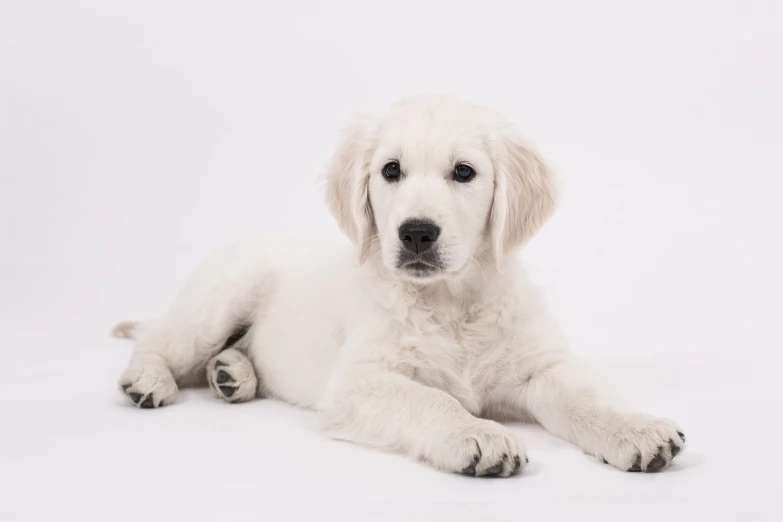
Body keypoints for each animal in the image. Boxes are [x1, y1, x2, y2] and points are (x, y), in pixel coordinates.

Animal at [116, 95, 688, 474]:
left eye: (464, 172)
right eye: (390, 170)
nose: (416, 233)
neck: (453, 303)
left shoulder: (538, 368)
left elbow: (587, 398)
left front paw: (636, 428)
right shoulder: (359, 381)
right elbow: (433, 400)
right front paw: (477, 433)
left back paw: (232, 374)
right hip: (221, 296)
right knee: (159, 340)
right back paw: (150, 380)